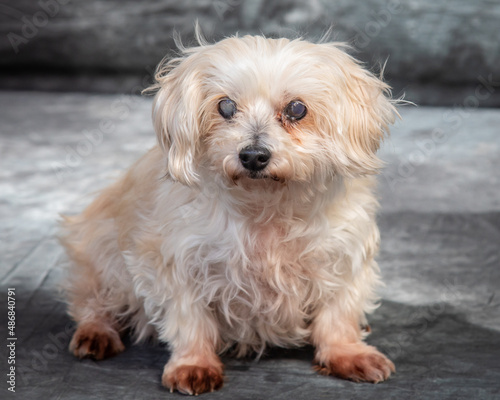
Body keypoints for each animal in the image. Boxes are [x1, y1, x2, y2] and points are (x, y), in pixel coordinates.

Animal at [61, 33, 398, 394]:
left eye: (296, 109)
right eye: (225, 106)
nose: (253, 155)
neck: (266, 204)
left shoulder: (344, 256)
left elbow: (339, 314)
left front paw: (347, 353)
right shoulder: (176, 263)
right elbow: (189, 319)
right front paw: (193, 363)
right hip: (99, 256)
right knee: (92, 303)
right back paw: (96, 332)